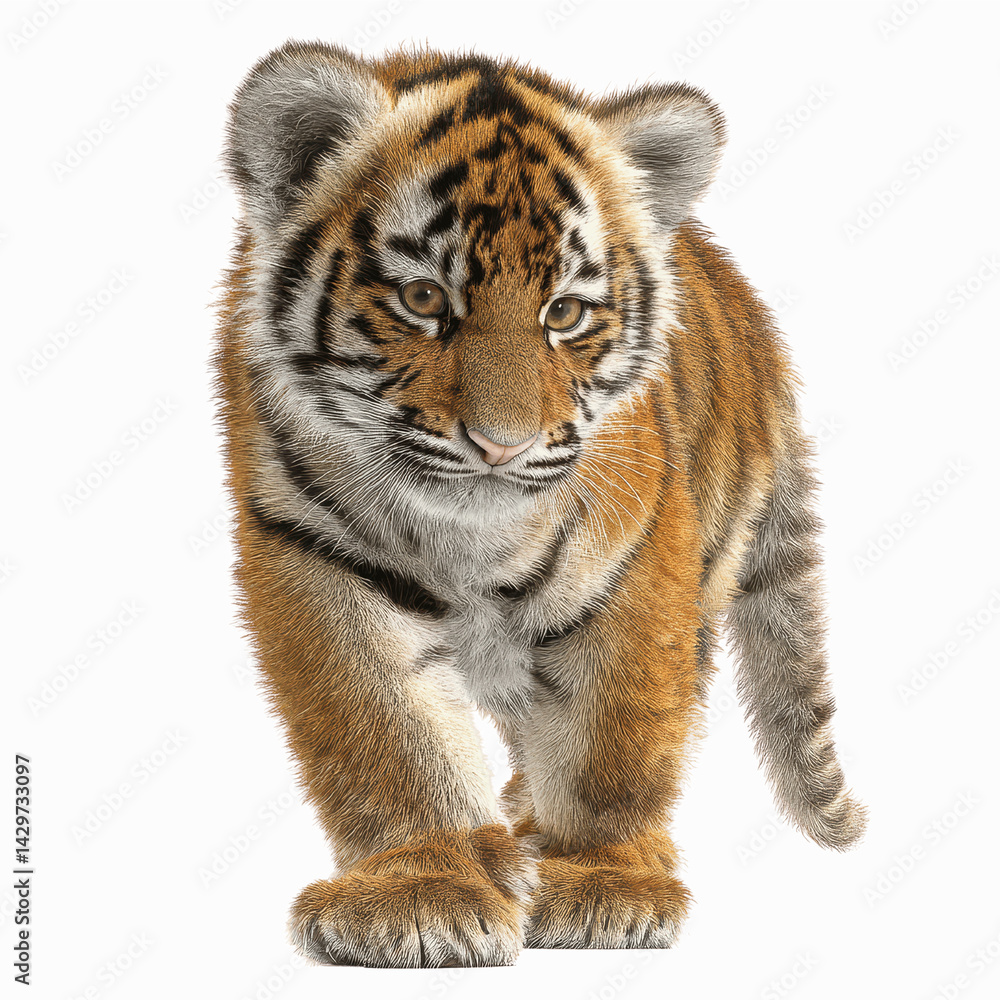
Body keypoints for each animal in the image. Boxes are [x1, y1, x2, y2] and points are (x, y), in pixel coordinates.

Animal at [214, 40, 866, 968]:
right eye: (423, 299)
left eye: (564, 312)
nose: (502, 445)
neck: (466, 538)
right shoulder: (313, 554)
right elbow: (389, 731)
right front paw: (422, 894)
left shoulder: (637, 570)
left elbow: (612, 742)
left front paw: (603, 884)